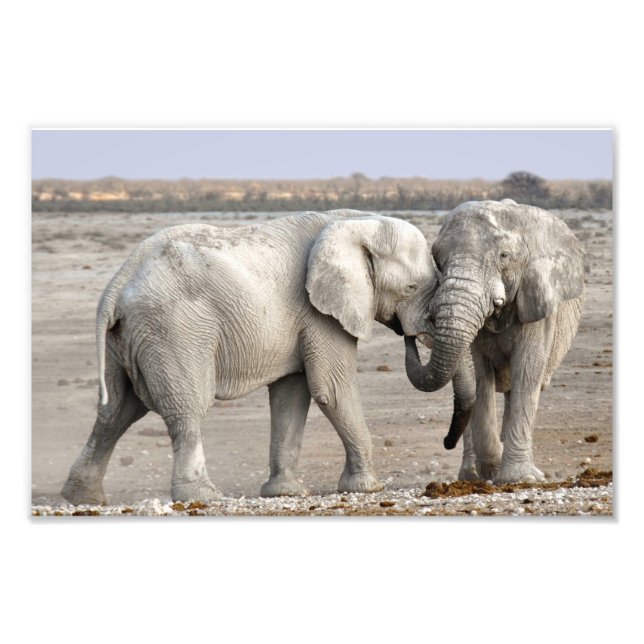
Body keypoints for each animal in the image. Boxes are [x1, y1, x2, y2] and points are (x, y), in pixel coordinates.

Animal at [61, 209, 474, 505]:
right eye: (411, 288)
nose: (410, 337)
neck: (356, 221)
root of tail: (119, 280)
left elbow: (292, 395)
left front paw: (286, 493)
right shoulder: (319, 312)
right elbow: (332, 389)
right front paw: (368, 488)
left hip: (128, 338)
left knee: (116, 410)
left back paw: (83, 499)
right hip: (174, 330)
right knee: (185, 408)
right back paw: (204, 497)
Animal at [404, 199, 584, 484]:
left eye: (504, 256)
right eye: (437, 259)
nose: (445, 442)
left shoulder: (538, 302)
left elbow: (528, 370)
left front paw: (519, 479)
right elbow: (479, 376)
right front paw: (493, 469)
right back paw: (471, 476)